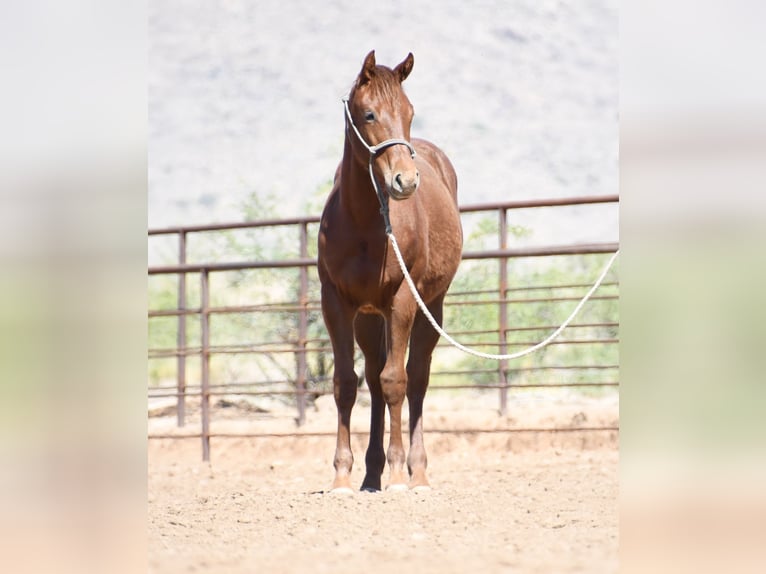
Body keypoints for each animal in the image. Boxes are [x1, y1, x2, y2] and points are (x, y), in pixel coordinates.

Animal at [317, 51, 463, 493]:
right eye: (368, 114)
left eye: (410, 112)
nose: (405, 180)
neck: (364, 223)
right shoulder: (336, 304)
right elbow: (346, 384)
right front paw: (342, 476)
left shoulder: (403, 300)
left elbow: (396, 381)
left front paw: (399, 474)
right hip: (369, 318)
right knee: (373, 378)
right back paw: (370, 474)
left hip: (431, 308)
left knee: (415, 379)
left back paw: (417, 471)